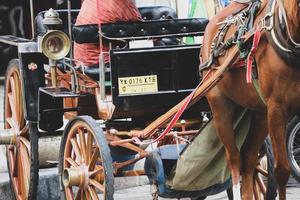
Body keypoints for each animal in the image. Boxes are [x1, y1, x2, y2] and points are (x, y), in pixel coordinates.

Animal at [202, 0, 300, 199]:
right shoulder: (277, 108)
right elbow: (282, 170)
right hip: (220, 107)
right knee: (234, 160)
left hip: (260, 113)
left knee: (248, 158)